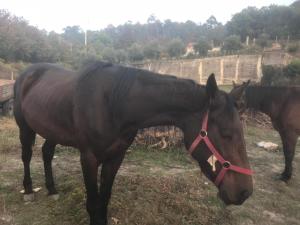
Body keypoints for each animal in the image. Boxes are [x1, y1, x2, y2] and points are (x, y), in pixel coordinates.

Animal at [14, 62, 253, 225]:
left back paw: (52, 189)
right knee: (26, 156)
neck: (112, 104)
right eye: (226, 134)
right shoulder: (88, 158)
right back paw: (28, 190)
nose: (245, 192)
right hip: (25, 128)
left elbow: (104, 200)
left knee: (46, 153)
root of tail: (27, 74)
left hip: (52, 131)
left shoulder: (116, 157)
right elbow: (92, 203)